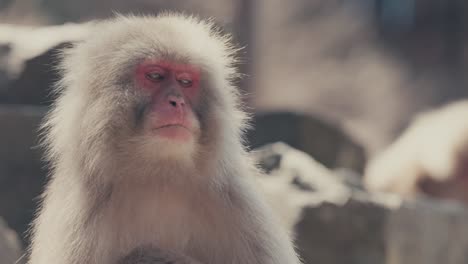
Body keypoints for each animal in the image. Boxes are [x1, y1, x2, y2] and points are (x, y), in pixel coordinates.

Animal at [29, 13, 302, 264]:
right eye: (155, 76)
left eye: (185, 81)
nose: (177, 102)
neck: (160, 175)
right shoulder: (82, 217)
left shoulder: (240, 204)